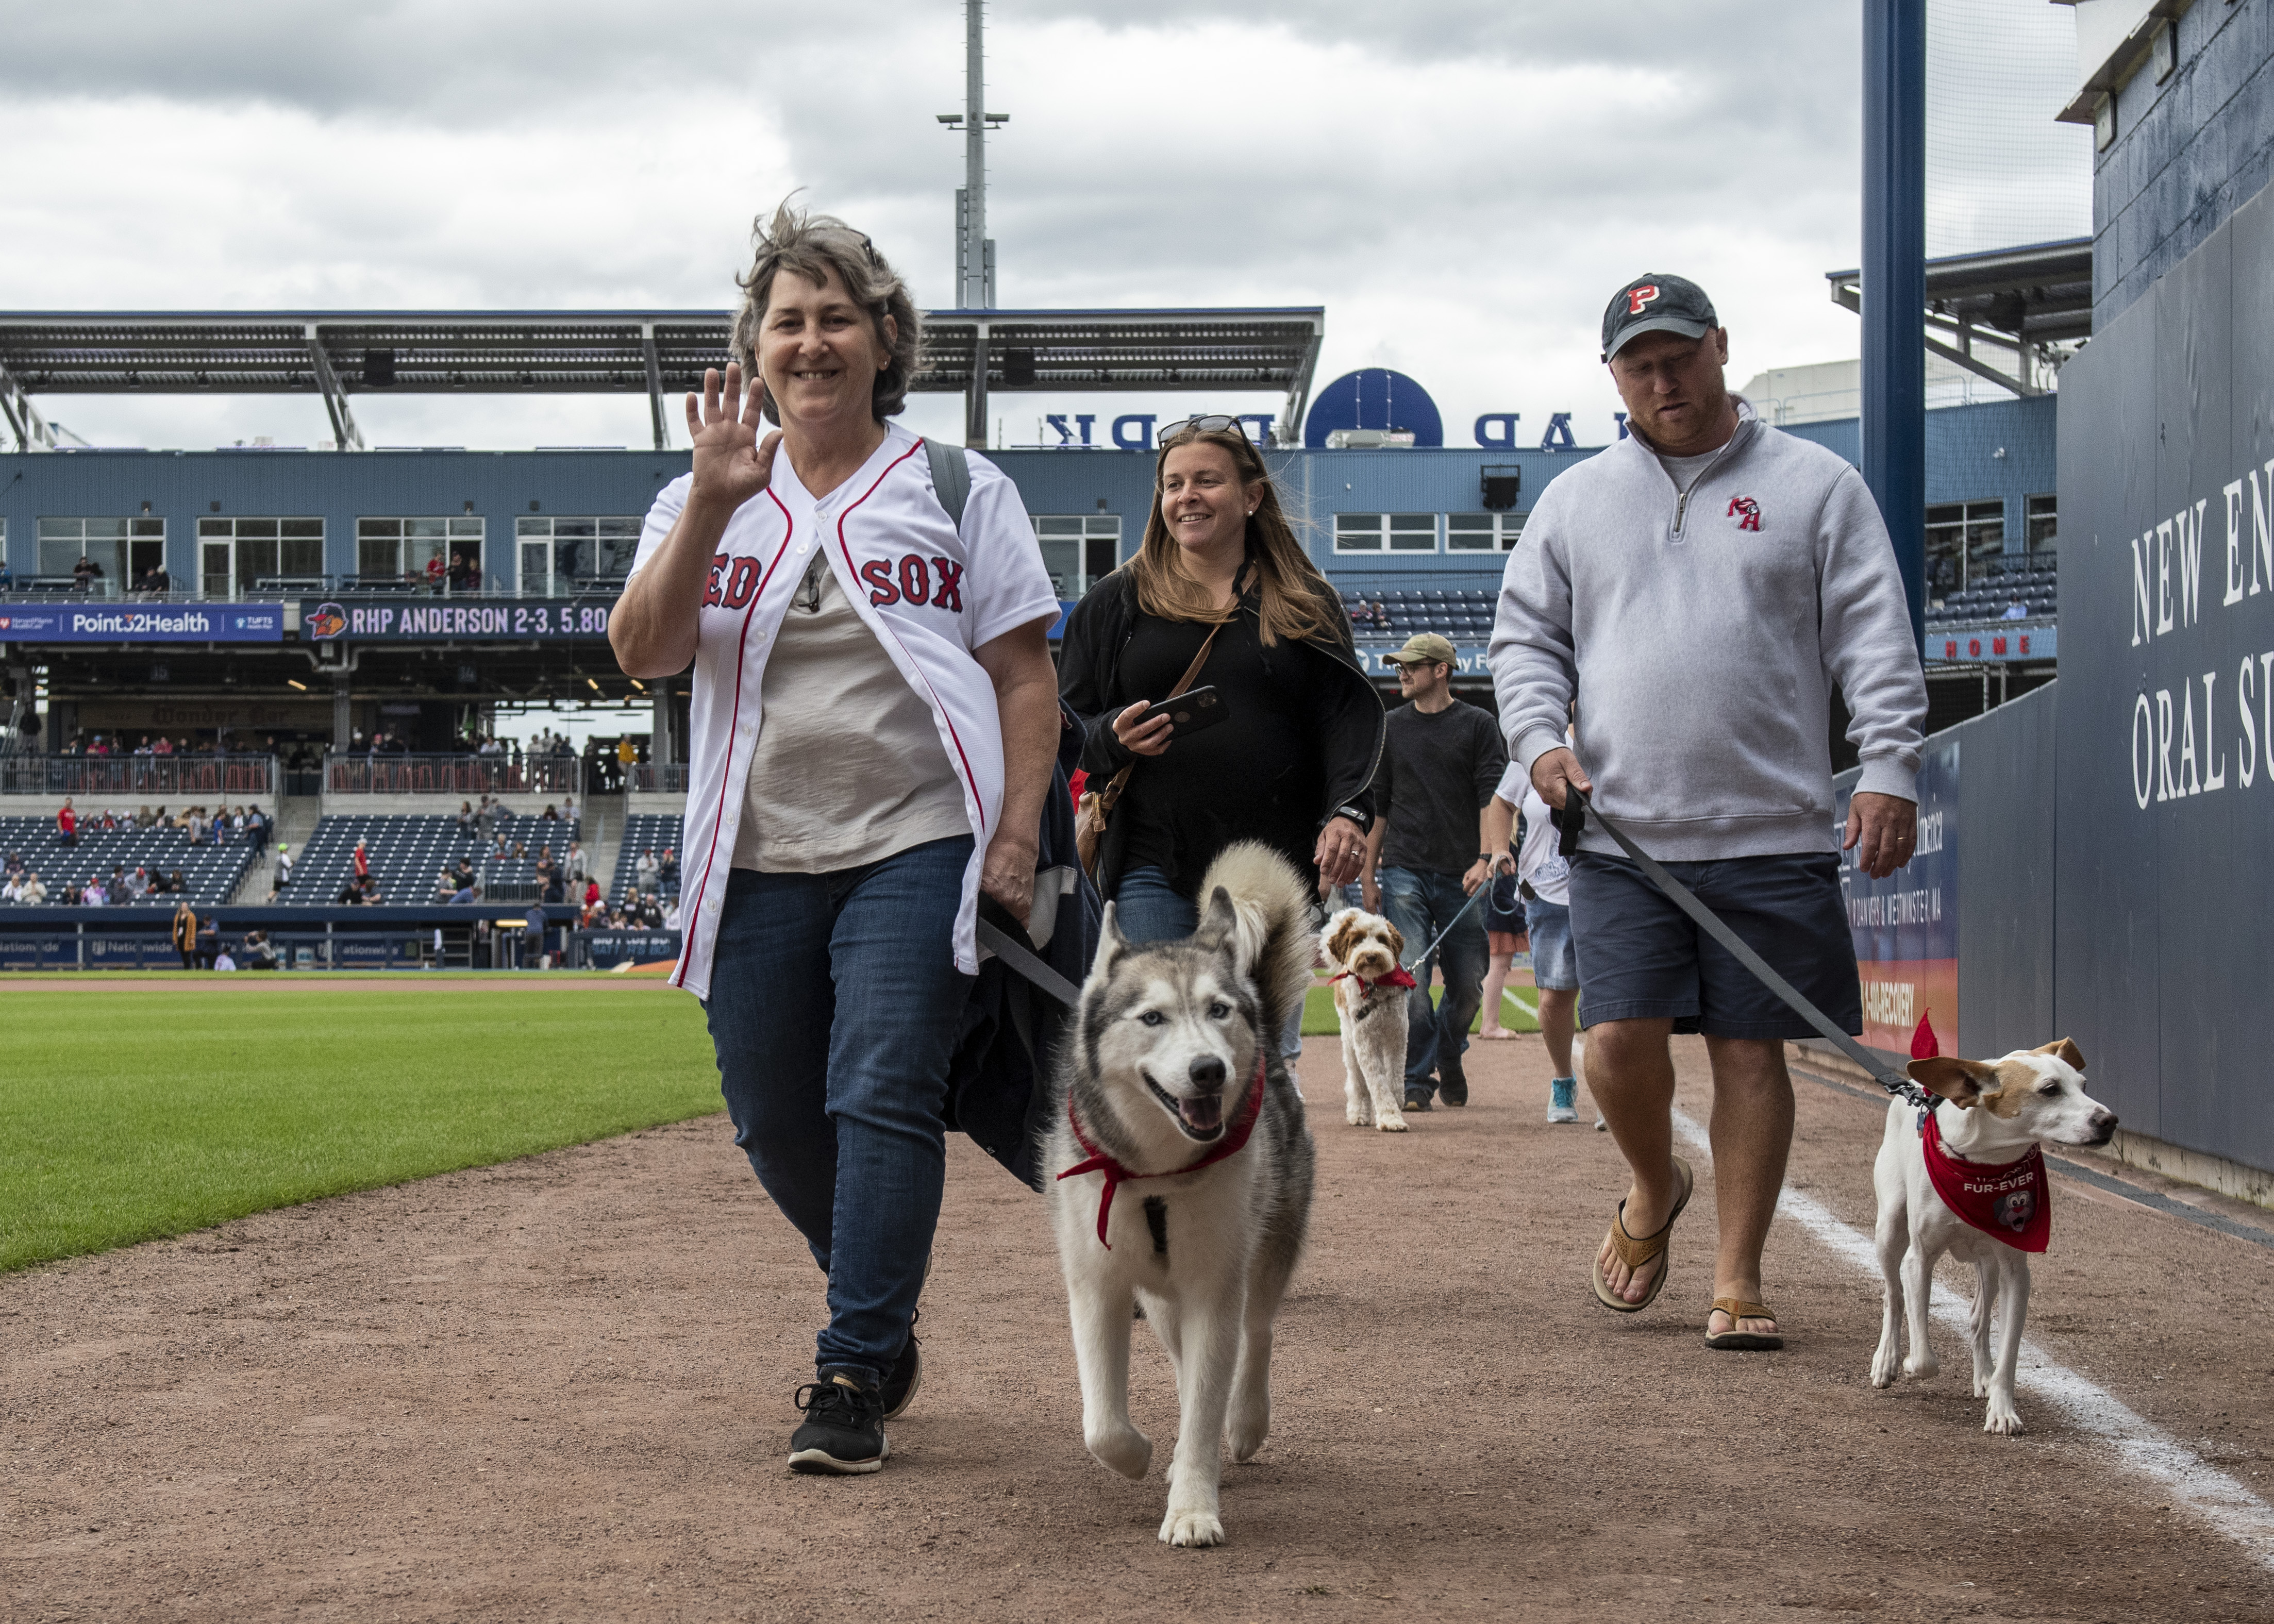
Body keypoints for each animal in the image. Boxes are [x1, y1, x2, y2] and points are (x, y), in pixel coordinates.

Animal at [1046, 837, 1318, 1546]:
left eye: (1217, 1010)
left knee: (1256, 1335)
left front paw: (1193, 1508)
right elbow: (1102, 1425)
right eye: (1152, 1017)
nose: (1208, 1070)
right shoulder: (1097, 1285)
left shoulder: (1213, 1287)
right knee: (1181, 1360)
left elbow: (1204, 1403)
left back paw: (1244, 1421)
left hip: (1265, 1250)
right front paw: (1141, 1455)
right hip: (1162, 1297)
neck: (1155, 1176)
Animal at [1318, 905, 1400, 1132]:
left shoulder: (1397, 1036)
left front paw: (1397, 1103)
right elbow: (1378, 1083)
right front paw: (1391, 1119)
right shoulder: (1365, 1043)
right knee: (1356, 1082)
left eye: (1382, 939)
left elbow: (1395, 1077)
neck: (1374, 987)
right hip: (1350, 1042)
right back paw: (1358, 1114)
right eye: (1357, 940)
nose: (1371, 956)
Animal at [1874, 1037, 2119, 1428]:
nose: (2109, 1120)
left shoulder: (2016, 1271)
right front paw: (1910, 1362)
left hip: (1986, 1262)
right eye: (2050, 1090)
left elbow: (2009, 1353)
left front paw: (2002, 1408)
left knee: (1979, 1319)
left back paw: (1983, 1375)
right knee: (1893, 1297)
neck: (1985, 1163)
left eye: (2083, 1085)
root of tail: (1912, 1089)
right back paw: (1887, 1359)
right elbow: (1925, 1356)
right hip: (1889, 1229)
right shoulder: (1919, 1259)